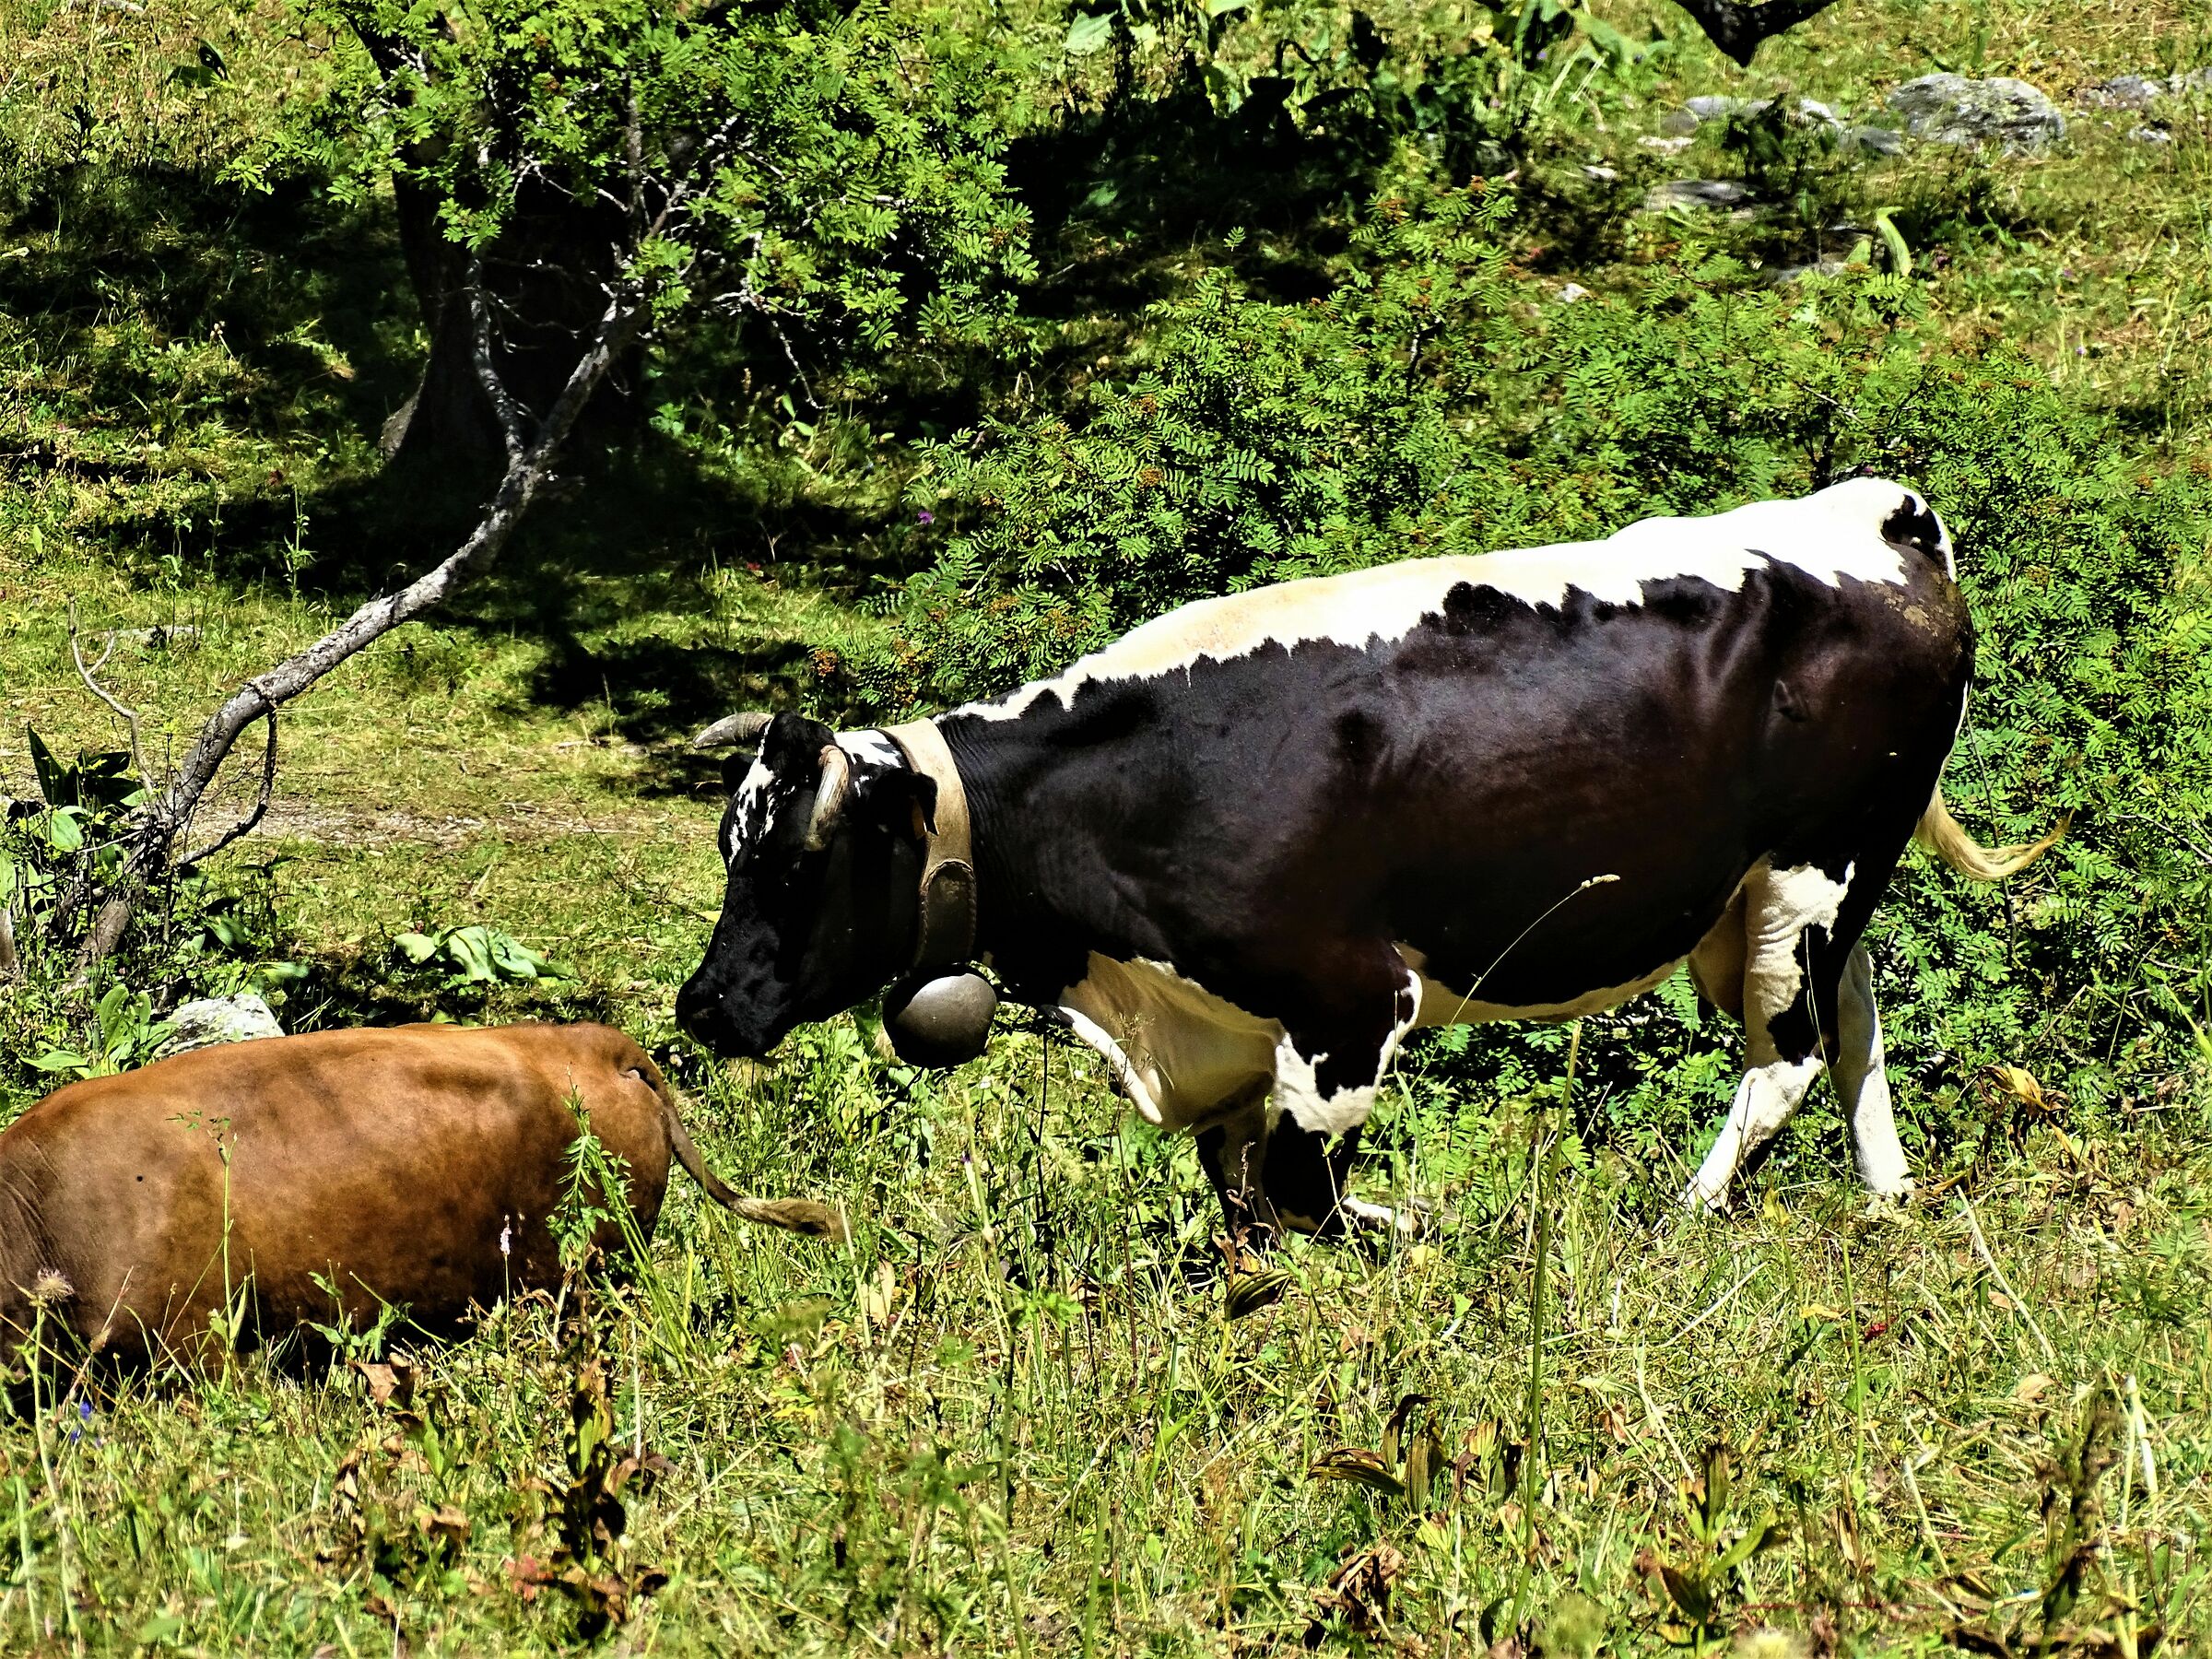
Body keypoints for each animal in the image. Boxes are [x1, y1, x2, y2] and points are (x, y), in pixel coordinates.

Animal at [677, 479, 2062, 1238]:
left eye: (794, 865)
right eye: (729, 851)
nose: (700, 1006)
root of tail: (1879, 514)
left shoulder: (1347, 1001)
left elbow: (1302, 1192)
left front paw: (1420, 1229)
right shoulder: (1227, 1036)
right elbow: (1241, 1191)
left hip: (1802, 877)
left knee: (1788, 1057)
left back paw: (1681, 1217)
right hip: (1815, 884)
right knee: (1856, 1018)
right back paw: (1886, 1197)